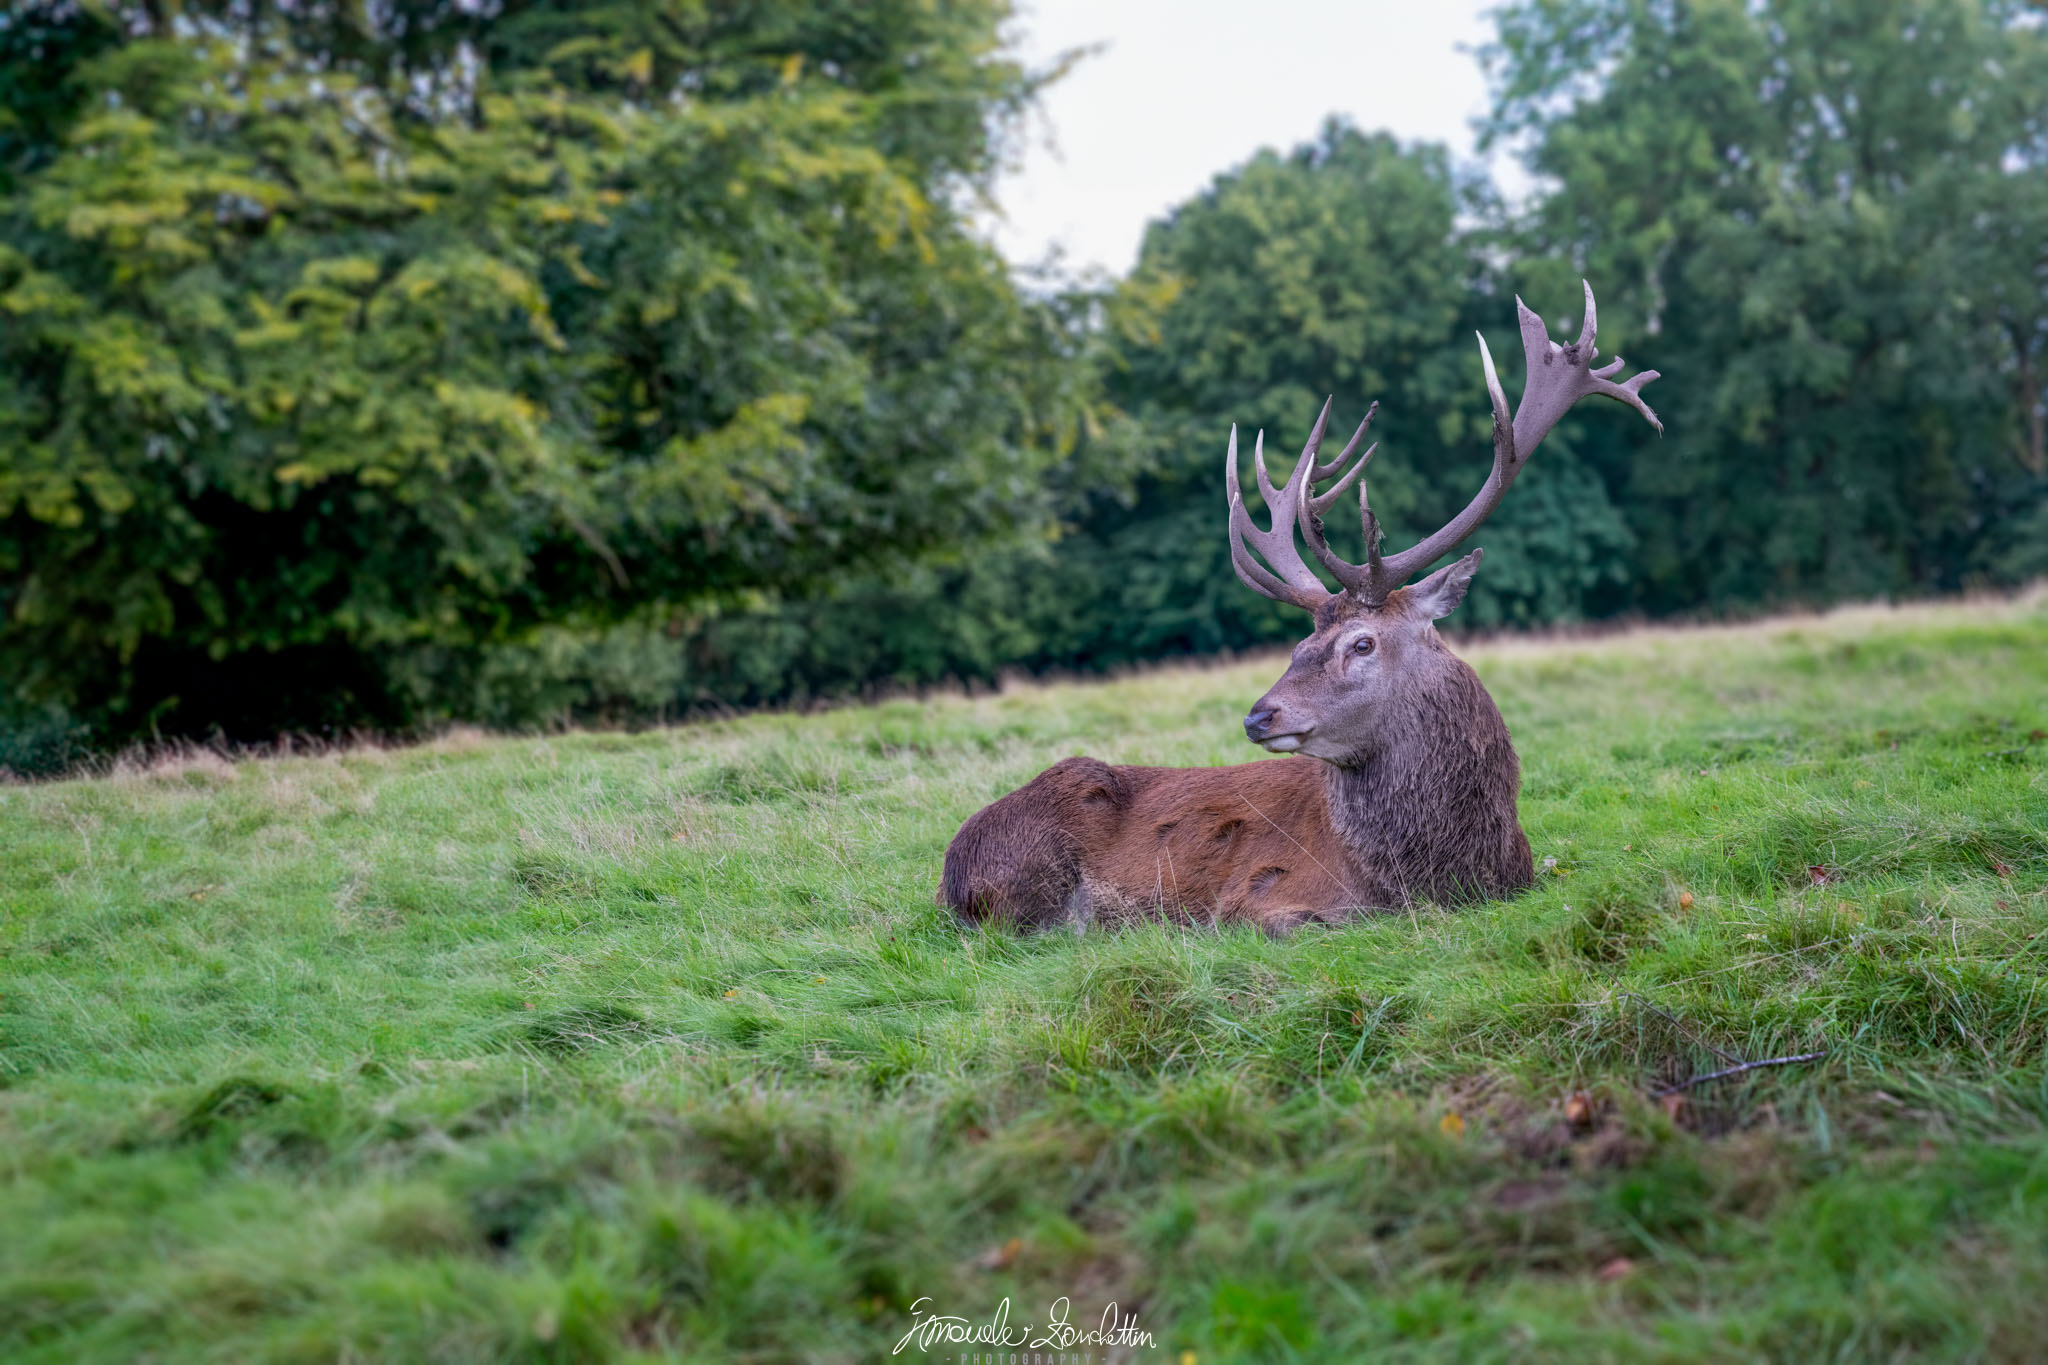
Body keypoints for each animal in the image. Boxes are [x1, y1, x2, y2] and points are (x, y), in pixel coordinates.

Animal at [938, 283, 1661, 934]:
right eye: (1297, 648)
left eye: (1361, 643)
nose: (1259, 715)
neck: (1446, 872)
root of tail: (950, 872)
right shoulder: (1259, 897)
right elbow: (1313, 922)